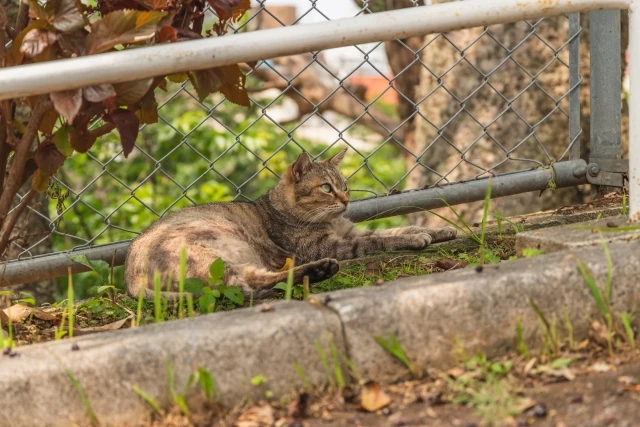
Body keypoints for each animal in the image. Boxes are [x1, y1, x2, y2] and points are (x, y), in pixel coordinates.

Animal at [124, 149, 456, 300]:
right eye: (326, 188)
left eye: (345, 186)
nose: (347, 201)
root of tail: (131, 279)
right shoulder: (326, 244)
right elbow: (379, 239)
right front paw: (418, 238)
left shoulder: (349, 230)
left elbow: (393, 229)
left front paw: (439, 231)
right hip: (221, 251)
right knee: (246, 285)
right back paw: (318, 270)